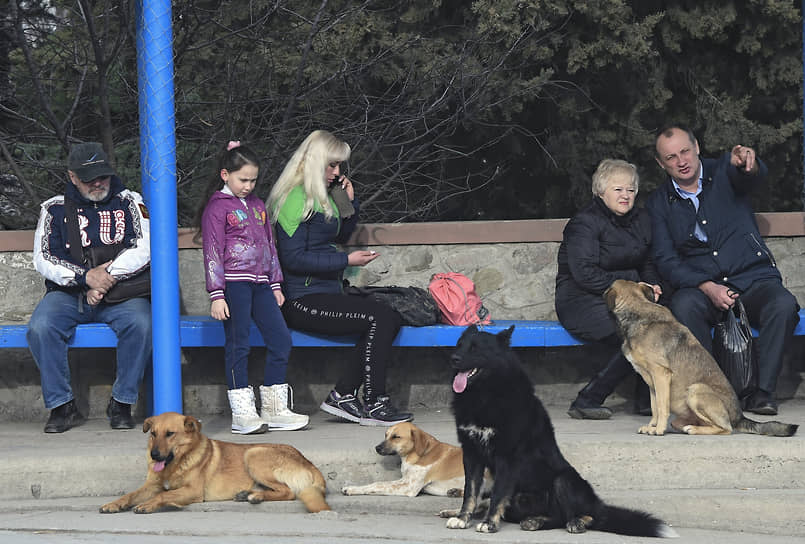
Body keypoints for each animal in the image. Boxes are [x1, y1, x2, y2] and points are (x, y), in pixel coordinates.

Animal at [98, 412, 330, 516]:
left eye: (170, 434)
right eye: (153, 434)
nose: (154, 455)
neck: (177, 463)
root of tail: (309, 463)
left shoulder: (192, 491)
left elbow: (163, 495)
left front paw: (148, 504)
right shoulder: (151, 485)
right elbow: (130, 494)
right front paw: (115, 504)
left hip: (253, 454)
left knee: (288, 492)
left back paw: (255, 496)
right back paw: (249, 494)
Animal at [340, 420, 490, 498]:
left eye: (396, 437)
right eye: (386, 435)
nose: (377, 448)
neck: (420, 454)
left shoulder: (408, 487)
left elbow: (378, 485)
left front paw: (353, 490)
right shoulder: (404, 480)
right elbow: (379, 483)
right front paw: (352, 488)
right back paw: (456, 492)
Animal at [442, 326, 676, 536]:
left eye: (476, 349)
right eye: (459, 345)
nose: (453, 358)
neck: (484, 394)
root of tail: (598, 504)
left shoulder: (506, 457)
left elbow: (498, 494)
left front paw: (489, 523)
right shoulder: (471, 454)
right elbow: (470, 492)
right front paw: (462, 518)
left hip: (563, 480)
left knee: (580, 517)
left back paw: (573, 523)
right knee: (550, 517)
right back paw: (531, 521)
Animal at [604, 280, 796, 438]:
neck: (637, 311)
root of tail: (739, 416)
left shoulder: (661, 374)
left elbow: (661, 407)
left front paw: (658, 429)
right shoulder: (651, 382)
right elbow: (654, 407)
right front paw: (652, 426)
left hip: (696, 389)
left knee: (725, 428)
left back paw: (694, 429)